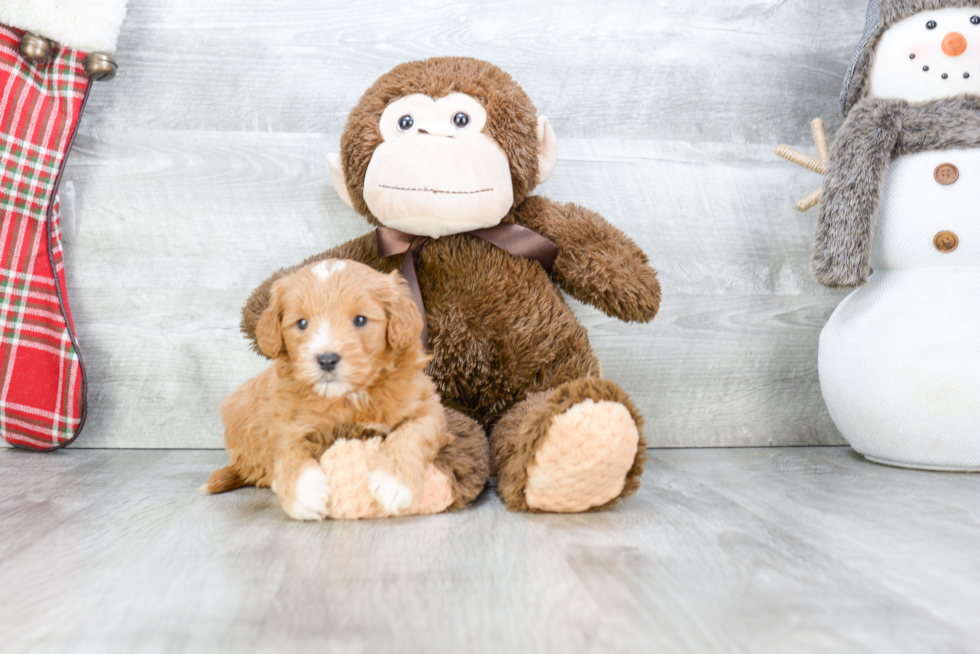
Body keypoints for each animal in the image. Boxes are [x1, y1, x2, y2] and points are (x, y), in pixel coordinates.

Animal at [210, 258, 452, 520]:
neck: (347, 397)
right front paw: (303, 492)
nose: (326, 360)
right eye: (302, 323)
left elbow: (412, 432)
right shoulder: (285, 420)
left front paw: (395, 480)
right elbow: (285, 447)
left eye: (360, 320)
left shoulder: (427, 407)